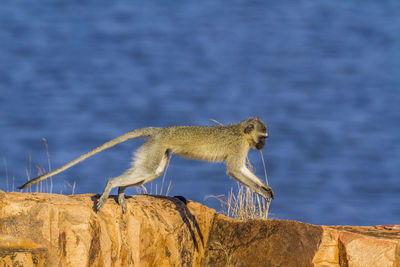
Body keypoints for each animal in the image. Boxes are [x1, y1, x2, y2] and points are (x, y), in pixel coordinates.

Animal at [18, 119, 276, 214]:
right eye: (262, 137)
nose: (263, 145)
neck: (241, 132)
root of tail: (160, 130)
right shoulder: (238, 147)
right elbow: (235, 170)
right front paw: (262, 191)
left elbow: (241, 171)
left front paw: (267, 190)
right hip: (156, 146)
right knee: (146, 172)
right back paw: (111, 186)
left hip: (157, 148)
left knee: (151, 173)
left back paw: (121, 193)